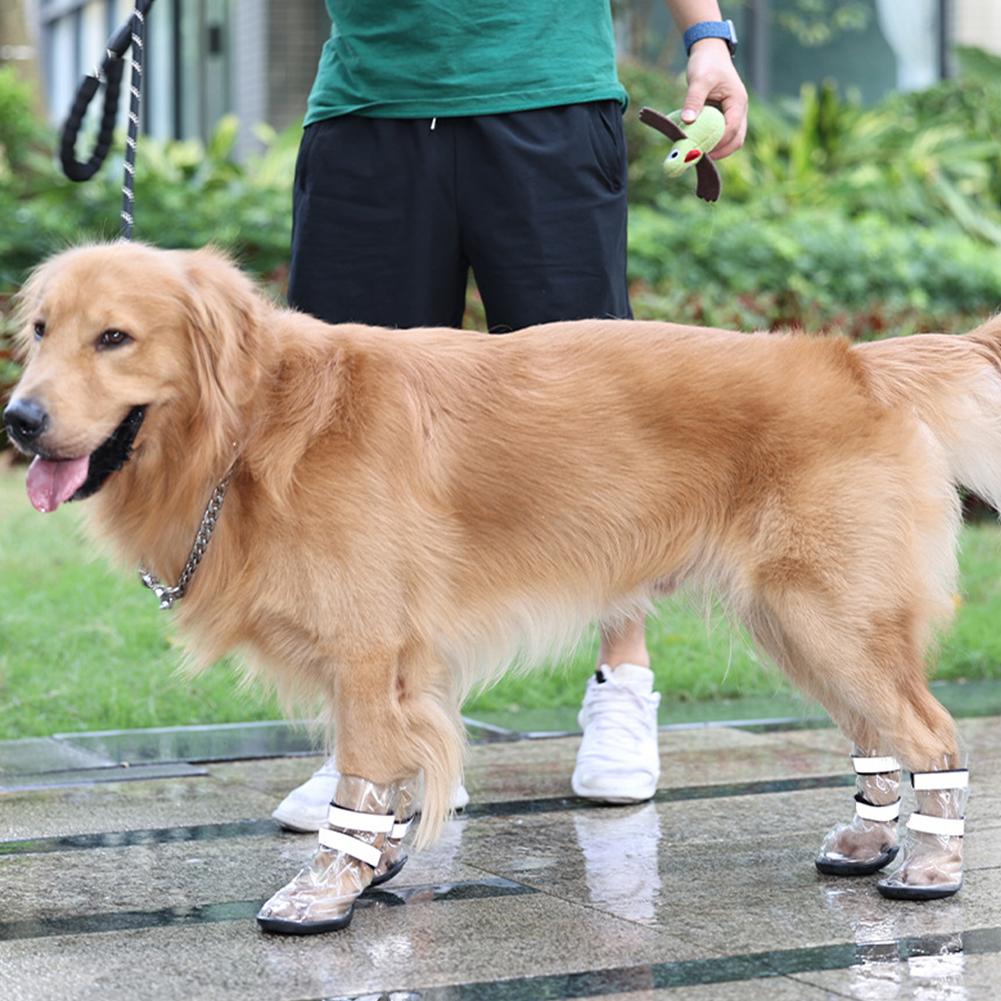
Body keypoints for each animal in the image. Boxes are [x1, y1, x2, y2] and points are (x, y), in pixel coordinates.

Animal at [5, 240, 984, 928]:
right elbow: (390, 778)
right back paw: (868, 836)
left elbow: (362, 775)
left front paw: (327, 889)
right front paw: (378, 861)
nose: (18, 419)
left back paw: (930, 866)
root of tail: (854, 361)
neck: (255, 427)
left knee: (931, 734)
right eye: (41, 331)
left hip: (825, 614)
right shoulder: (397, 664)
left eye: (115, 337)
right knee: (876, 733)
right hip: (800, 621)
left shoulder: (366, 651)